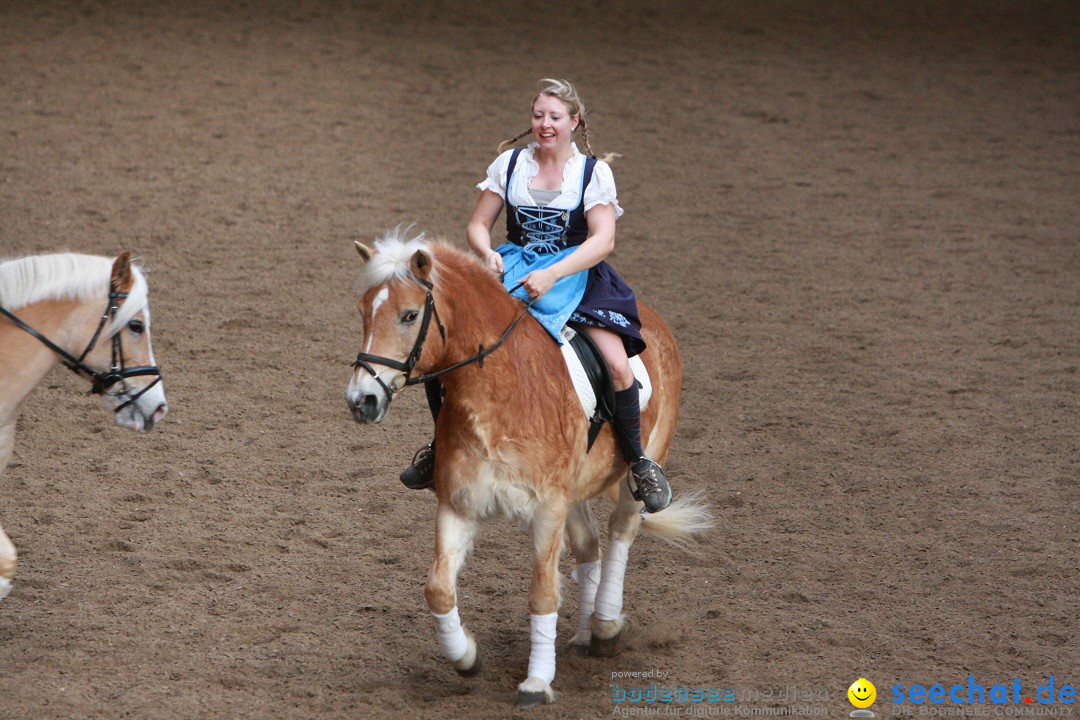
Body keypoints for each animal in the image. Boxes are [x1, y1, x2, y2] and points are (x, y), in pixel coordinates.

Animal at [345, 229, 712, 703]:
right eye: (362, 312)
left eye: (409, 315)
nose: (361, 401)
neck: (499, 393)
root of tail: (650, 316)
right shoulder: (460, 503)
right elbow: (438, 589)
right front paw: (466, 656)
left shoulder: (547, 508)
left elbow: (542, 594)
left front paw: (537, 681)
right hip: (573, 490)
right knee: (588, 545)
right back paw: (583, 633)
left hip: (640, 464)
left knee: (620, 534)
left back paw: (605, 625)